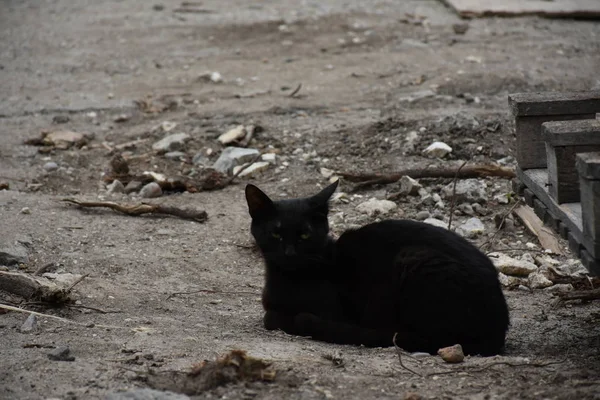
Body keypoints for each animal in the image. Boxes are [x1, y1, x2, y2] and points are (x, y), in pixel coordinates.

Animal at [246, 182, 508, 356]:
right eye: (276, 233)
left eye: (304, 235)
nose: (289, 253)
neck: (288, 278)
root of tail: (499, 326)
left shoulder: (332, 312)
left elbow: (271, 317)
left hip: (412, 258)